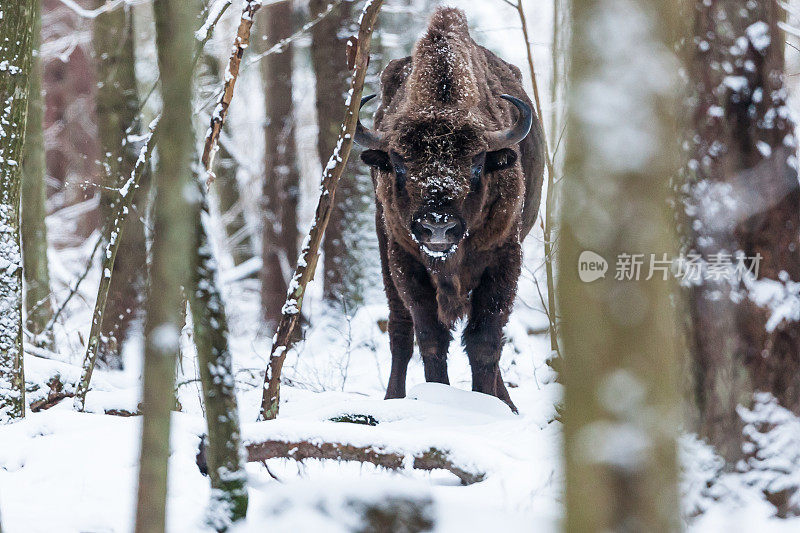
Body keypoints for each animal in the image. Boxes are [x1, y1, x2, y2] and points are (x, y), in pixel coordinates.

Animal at [354, 5, 544, 412]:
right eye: (398, 164)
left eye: (476, 164)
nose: (438, 227)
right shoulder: (405, 261)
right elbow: (430, 337)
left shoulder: (504, 258)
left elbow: (485, 340)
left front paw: (492, 406)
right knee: (399, 328)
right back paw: (392, 397)